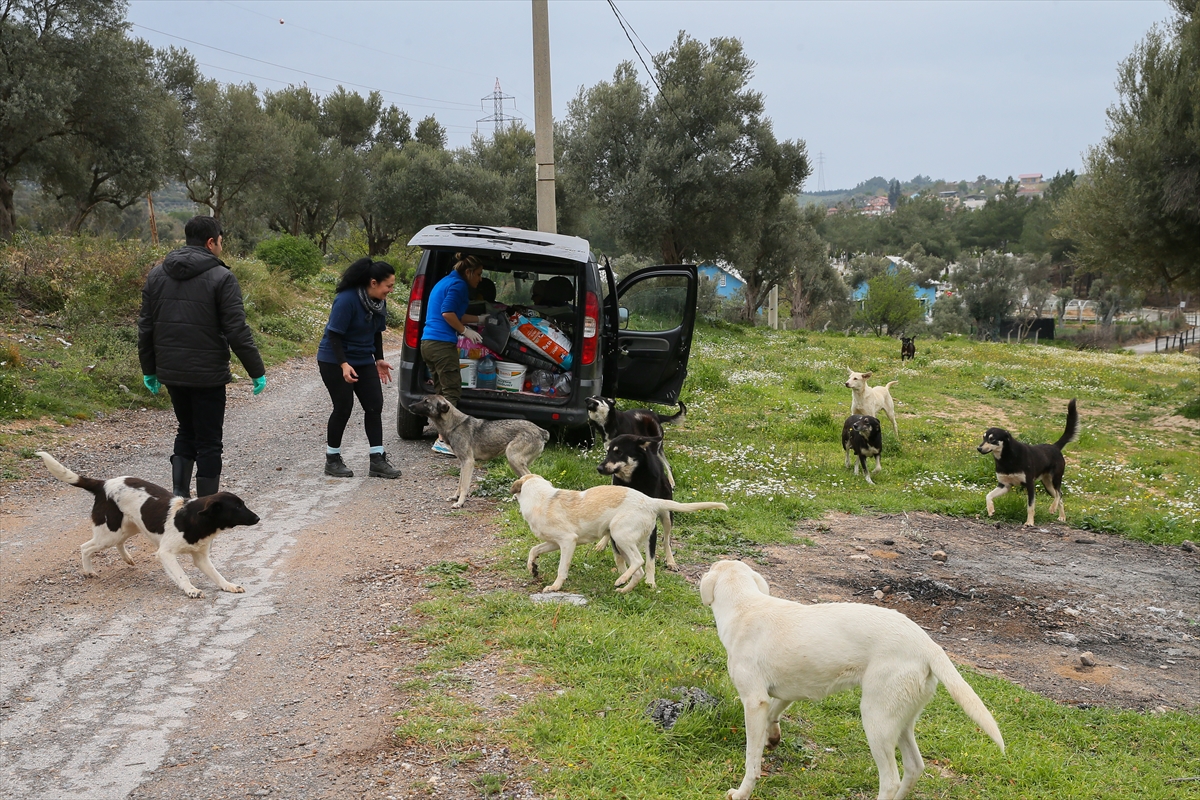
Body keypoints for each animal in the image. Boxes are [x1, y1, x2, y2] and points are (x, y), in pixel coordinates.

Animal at [38, 450, 260, 594]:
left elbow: (216, 574)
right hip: (109, 533)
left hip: (128, 528)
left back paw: (127, 559)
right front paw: (191, 590)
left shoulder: (201, 557)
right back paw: (89, 571)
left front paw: (229, 586)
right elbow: (182, 575)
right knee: (85, 547)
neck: (193, 518)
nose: (258, 518)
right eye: (238, 507)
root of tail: (103, 484)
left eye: (243, 504)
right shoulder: (166, 553)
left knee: (118, 543)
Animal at [506, 474, 720, 594]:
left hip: (620, 535)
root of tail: (651, 501)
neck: (542, 498)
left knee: (639, 561)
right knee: (639, 571)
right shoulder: (554, 542)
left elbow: (561, 569)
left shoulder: (568, 541)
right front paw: (532, 568)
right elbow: (534, 550)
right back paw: (624, 588)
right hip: (621, 542)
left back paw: (621, 580)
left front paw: (555, 587)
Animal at [595, 434, 681, 573]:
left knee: (666, 540)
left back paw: (670, 561)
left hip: (667, 516)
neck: (633, 480)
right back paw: (602, 544)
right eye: (607, 452)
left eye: (619, 452)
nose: (599, 468)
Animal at [700, 561, 1008, 800]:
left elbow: (751, 759)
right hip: (899, 720)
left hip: (875, 720)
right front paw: (773, 736)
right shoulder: (787, 691)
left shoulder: (754, 701)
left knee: (890, 780)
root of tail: (928, 645)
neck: (744, 605)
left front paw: (743, 792)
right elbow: (775, 713)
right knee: (915, 767)